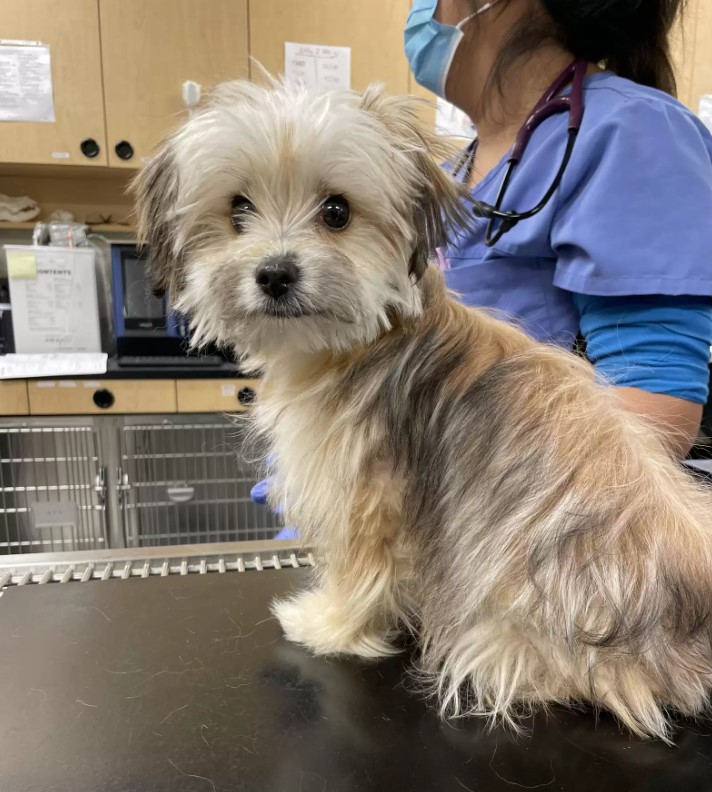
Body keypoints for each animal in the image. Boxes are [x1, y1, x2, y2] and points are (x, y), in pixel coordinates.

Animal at [134, 80, 712, 744]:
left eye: (337, 212)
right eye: (237, 210)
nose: (275, 274)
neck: (370, 335)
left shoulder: (364, 493)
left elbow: (357, 571)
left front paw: (328, 625)